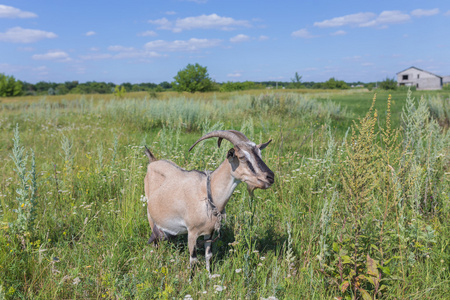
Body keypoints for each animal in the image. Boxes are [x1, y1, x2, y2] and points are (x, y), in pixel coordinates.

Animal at [144, 129, 274, 272]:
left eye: (260, 154)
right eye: (242, 157)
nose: (270, 177)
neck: (208, 192)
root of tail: (152, 161)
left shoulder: (210, 232)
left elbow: (208, 255)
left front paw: (209, 275)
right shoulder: (192, 232)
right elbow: (193, 260)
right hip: (150, 217)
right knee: (155, 243)